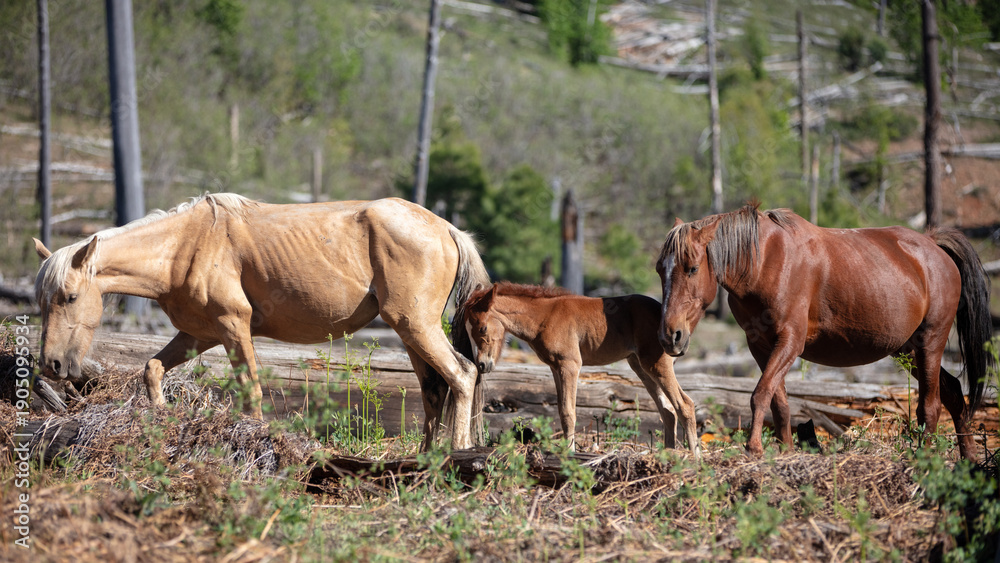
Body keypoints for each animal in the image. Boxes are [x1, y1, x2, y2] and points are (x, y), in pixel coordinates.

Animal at [33, 193, 491, 450]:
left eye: (69, 297)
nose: (51, 365)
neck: (186, 245)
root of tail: (447, 228)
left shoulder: (233, 327)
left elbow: (251, 393)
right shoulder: (198, 334)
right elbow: (152, 369)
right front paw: (161, 419)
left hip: (415, 327)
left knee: (463, 375)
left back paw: (458, 452)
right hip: (410, 334)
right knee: (434, 391)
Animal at [462, 282, 700, 455]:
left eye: (482, 328)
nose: (482, 364)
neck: (544, 317)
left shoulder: (570, 365)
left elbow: (569, 412)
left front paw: (569, 453)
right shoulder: (555, 367)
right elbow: (561, 410)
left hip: (656, 363)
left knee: (685, 405)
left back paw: (695, 457)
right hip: (640, 366)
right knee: (668, 411)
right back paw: (668, 455)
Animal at [656, 203, 994, 459]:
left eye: (692, 268)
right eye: (661, 270)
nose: (670, 335)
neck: (765, 262)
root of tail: (934, 245)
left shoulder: (789, 342)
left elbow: (760, 394)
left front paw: (754, 448)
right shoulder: (761, 346)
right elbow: (779, 403)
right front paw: (784, 451)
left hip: (930, 343)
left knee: (930, 407)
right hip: (908, 351)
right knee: (954, 394)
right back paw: (969, 460)